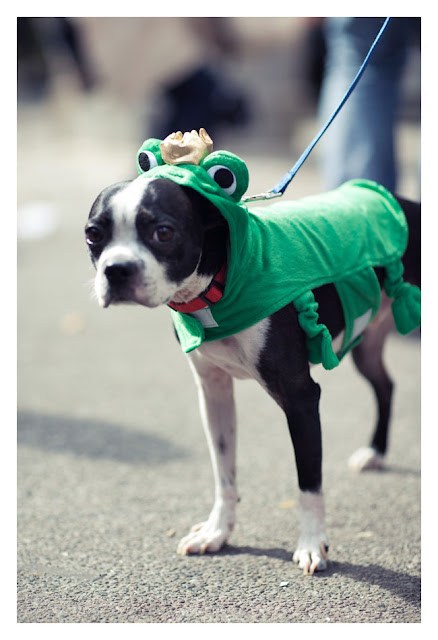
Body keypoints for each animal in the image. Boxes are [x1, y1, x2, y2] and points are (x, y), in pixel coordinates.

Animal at [85, 154, 420, 575]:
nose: (116, 269)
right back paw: (375, 452)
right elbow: (224, 473)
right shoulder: (213, 393)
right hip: (367, 342)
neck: (218, 287)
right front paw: (217, 532)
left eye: (163, 232)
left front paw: (312, 545)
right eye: (93, 235)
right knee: (385, 386)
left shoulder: (301, 398)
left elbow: (309, 480)